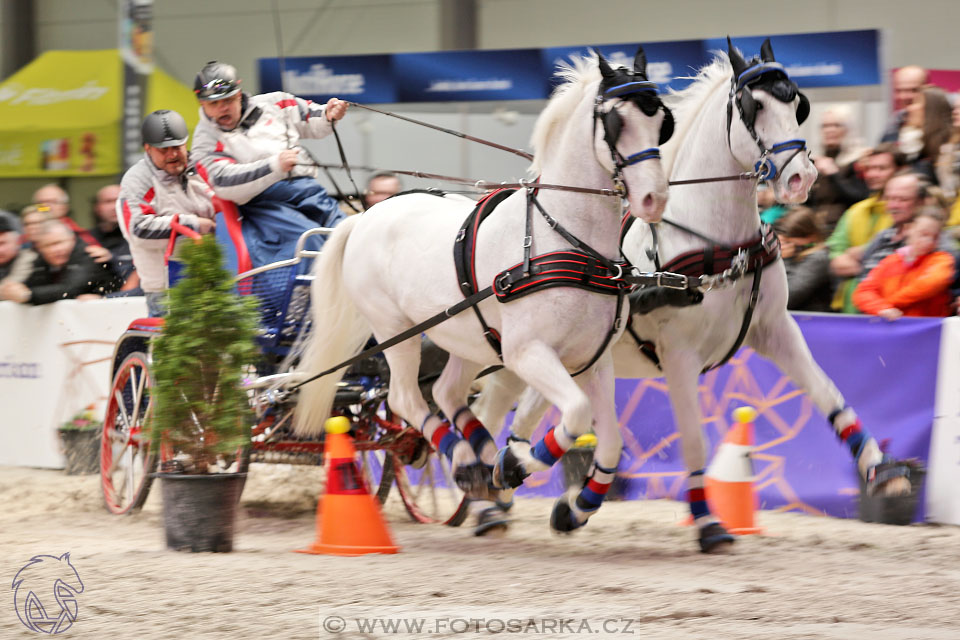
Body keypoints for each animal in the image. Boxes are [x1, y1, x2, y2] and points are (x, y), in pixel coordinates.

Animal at [296, 48, 672, 500]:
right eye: (618, 122)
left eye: (661, 121)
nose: (654, 198)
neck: (566, 241)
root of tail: (365, 215)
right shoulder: (527, 353)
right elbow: (578, 413)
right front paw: (517, 463)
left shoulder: (593, 361)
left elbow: (610, 441)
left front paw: (569, 504)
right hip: (394, 331)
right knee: (406, 397)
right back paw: (464, 457)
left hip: (466, 336)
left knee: (446, 391)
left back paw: (481, 453)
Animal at [476, 38, 912, 552]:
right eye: (753, 106)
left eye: (798, 104)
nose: (801, 178)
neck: (718, 244)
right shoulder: (680, 354)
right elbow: (693, 440)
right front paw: (708, 523)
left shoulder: (775, 330)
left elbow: (829, 394)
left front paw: (883, 471)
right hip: (521, 356)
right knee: (488, 413)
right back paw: (486, 498)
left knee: (517, 418)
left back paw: (512, 489)